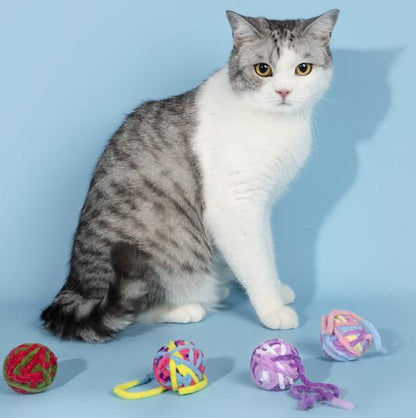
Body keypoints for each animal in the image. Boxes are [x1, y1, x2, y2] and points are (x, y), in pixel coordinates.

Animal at [41, 9, 342, 342]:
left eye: (303, 69)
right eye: (263, 69)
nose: (284, 91)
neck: (276, 125)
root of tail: (75, 288)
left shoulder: (261, 206)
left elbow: (266, 251)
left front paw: (277, 289)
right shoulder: (234, 205)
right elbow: (256, 262)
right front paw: (272, 309)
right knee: (135, 309)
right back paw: (186, 307)